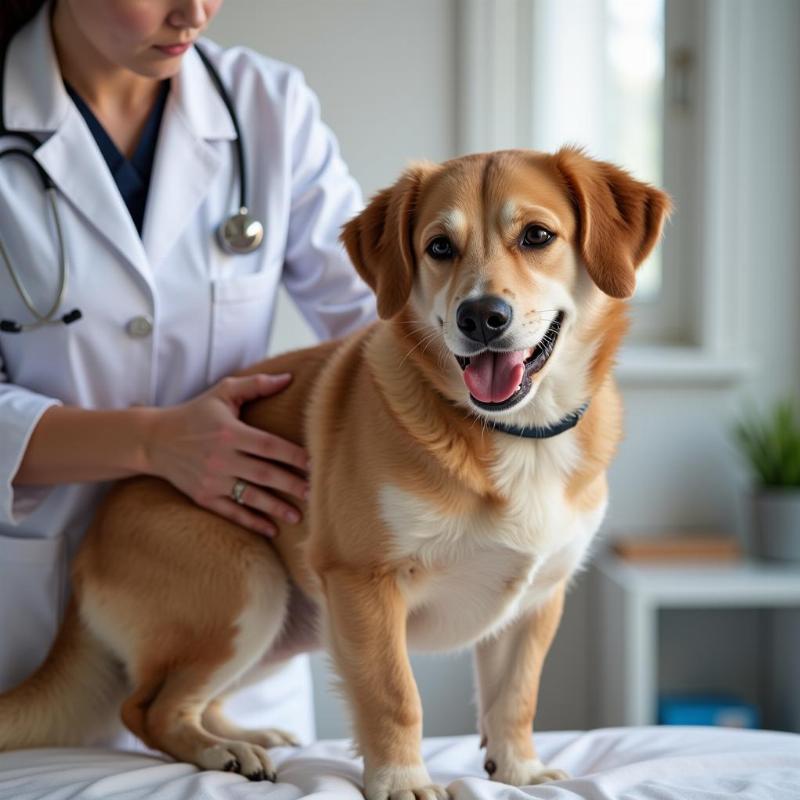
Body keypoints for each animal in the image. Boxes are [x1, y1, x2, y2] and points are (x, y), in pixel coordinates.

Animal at [0, 147, 668, 796]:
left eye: (537, 236)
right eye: (439, 247)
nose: (482, 317)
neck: (511, 435)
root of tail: (86, 547)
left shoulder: (537, 601)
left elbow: (516, 697)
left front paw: (520, 770)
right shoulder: (363, 582)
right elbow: (394, 694)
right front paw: (402, 781)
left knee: (187, 701)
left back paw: (247, 734)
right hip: (250, 587)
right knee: (147, 710)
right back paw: (223, 751)